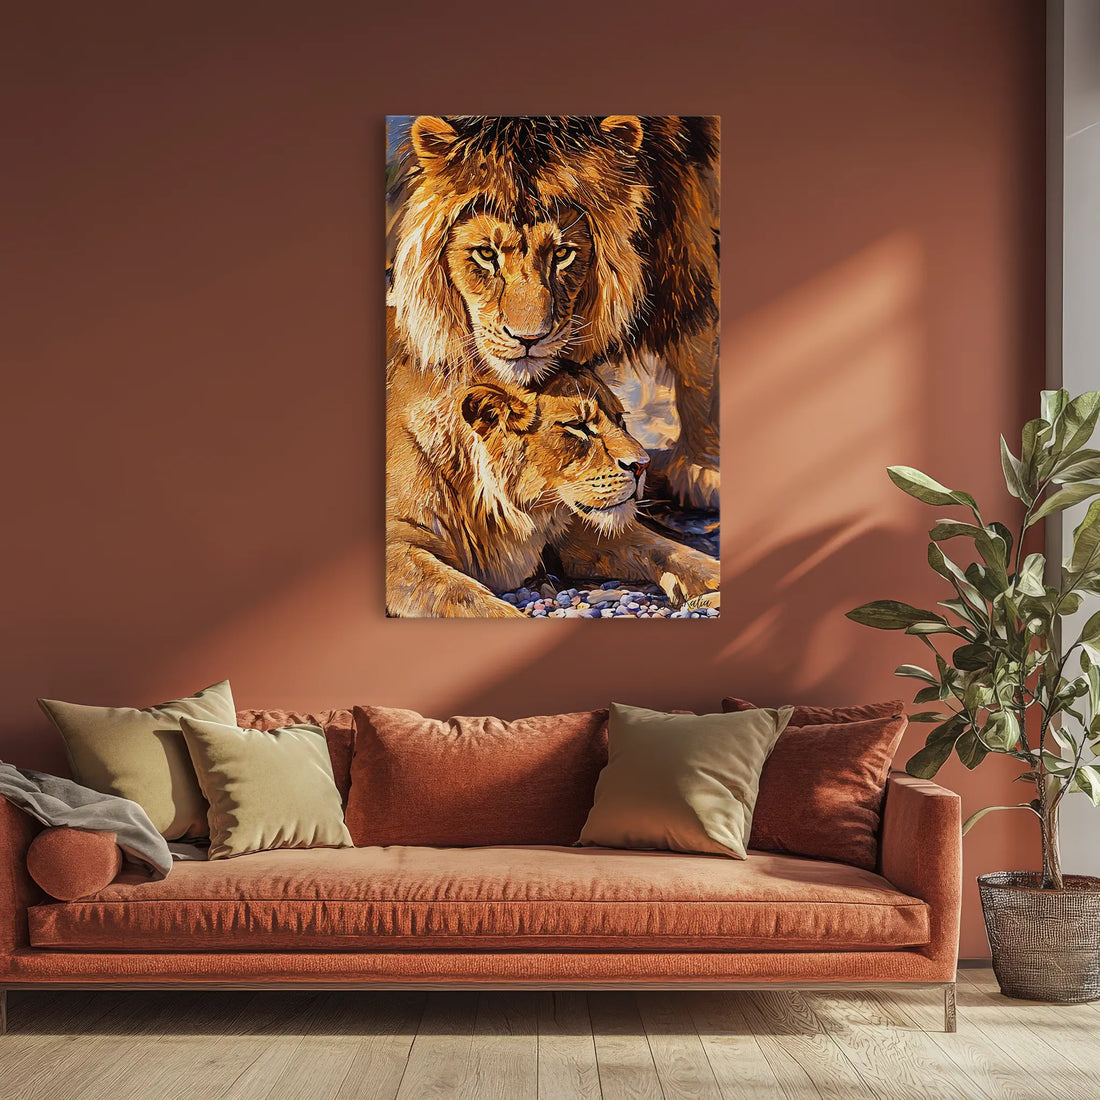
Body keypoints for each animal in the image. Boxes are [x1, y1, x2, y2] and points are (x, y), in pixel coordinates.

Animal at [386, 115, 720, 509]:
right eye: (486, 254)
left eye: (562, 254)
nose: (528, 339)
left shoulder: (692, 250)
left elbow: (698, 364)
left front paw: (702, 467)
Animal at [386, 358, 720, 619]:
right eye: (578, 426)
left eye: (620, 419)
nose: (642, 465)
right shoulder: (397, 545)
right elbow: (465, 598)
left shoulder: (571, 527)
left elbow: (663, 547)